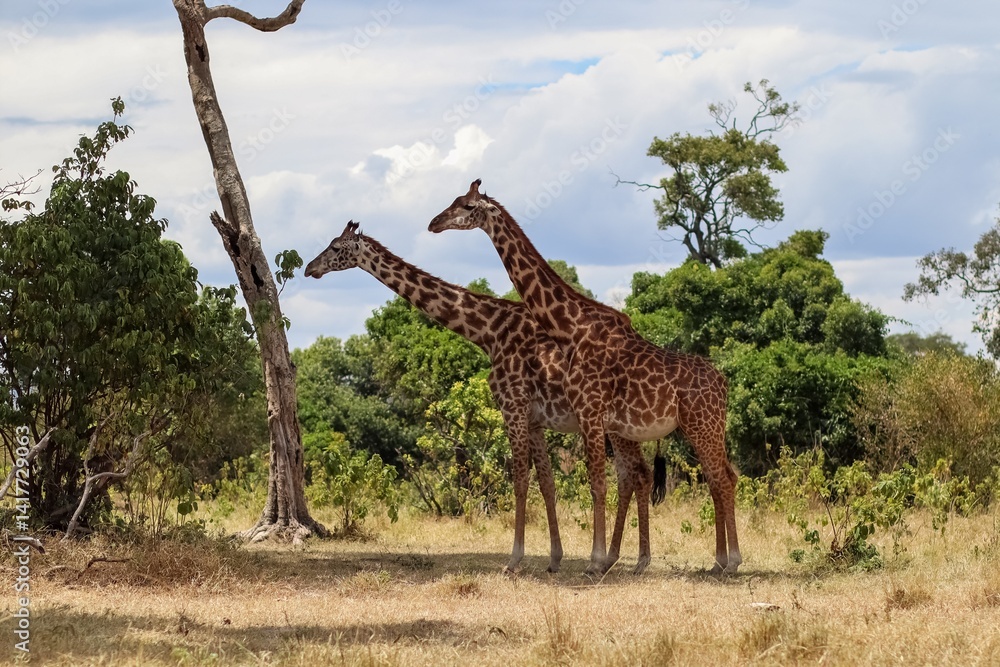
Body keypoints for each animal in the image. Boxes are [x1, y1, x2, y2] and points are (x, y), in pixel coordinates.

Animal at [304, 221, 654, 573]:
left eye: (336, 247)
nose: (309, 269)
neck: (488, 331)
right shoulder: (535, 419)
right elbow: (547, 483)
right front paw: (554, 558)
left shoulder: (514, 408)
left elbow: (520, 481)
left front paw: (515, 559)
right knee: (634, 474)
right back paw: (622, 559)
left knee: (635, 474)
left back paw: (631, 561)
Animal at [428, 180, 742, 574]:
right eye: (453, 200)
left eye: (468, 206)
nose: (433, 224)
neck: (571, 329)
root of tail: (724, 384)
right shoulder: (587, 418)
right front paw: (599, 559)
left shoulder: (590, 414)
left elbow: (597, 485)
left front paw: (594, 562)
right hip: (703, 427)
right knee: (721, 477)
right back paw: (719, 562)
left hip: (702, 425)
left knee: (722, 478)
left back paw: (731, 561)